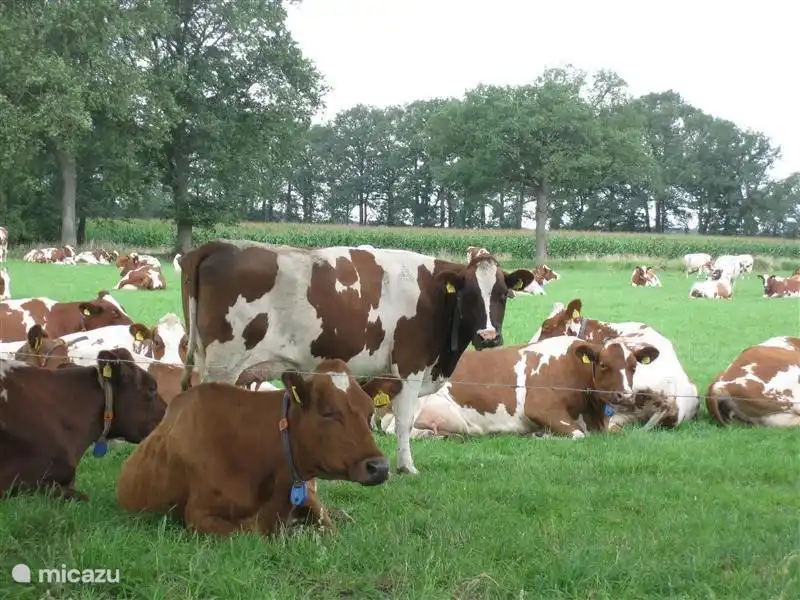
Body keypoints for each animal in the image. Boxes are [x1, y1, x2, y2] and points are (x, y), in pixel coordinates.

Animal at [117, 359, 400, 536]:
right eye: (329, 412)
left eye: (369, 412)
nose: (380, 467)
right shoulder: (199, 514)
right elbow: (251, 533)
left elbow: (329, 528)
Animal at [179, 240, 535, 475]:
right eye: (469, 295)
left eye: (504, 294)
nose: (488, 336)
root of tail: (218, 245)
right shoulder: (410, 367)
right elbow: (404, 421)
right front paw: (407, 467)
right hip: (223, 364)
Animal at [378, 335, 660, 439]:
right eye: (602, 364)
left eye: (634, 366)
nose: (625, 395)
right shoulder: (540, 407)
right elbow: (579, 434)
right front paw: (542, 436)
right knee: (398, 430)